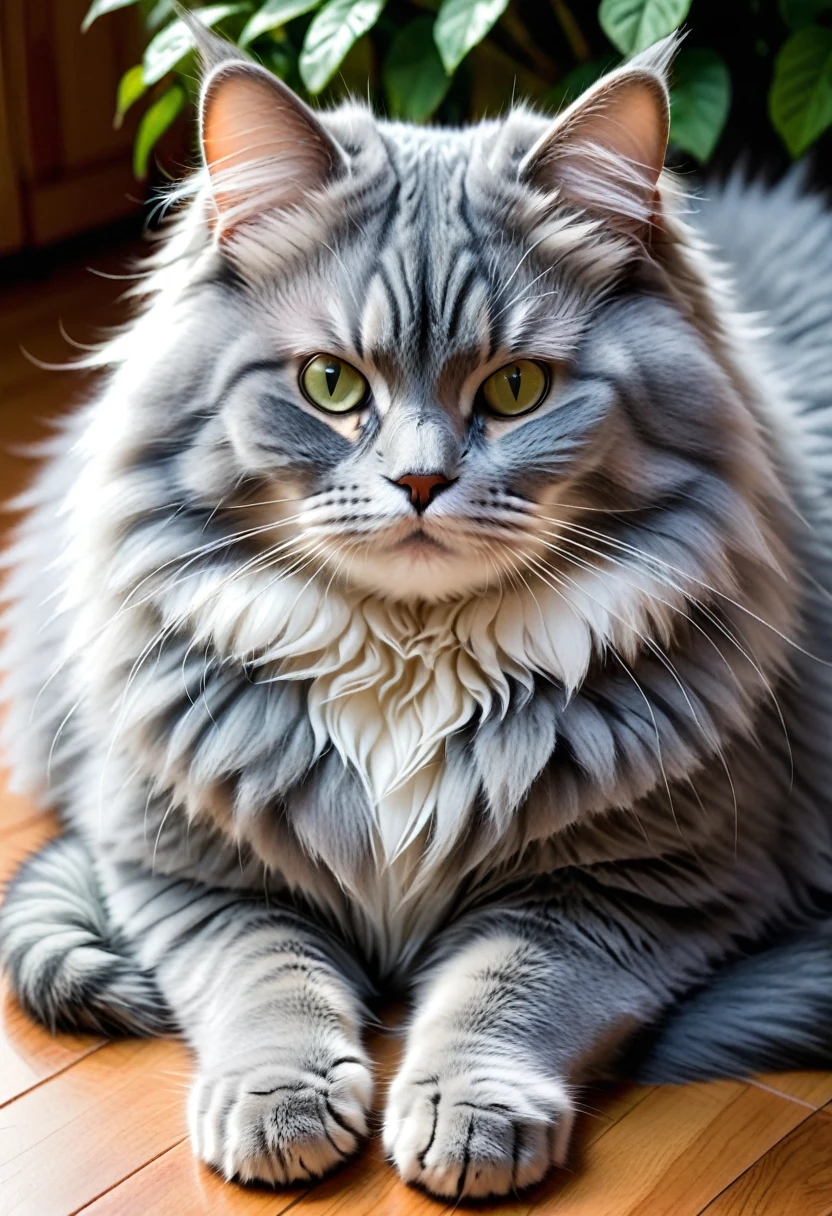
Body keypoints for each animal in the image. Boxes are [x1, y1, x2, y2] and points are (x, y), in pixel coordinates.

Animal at [4, 26, 832, 1196]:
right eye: (330, 385)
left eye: (519, 389)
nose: (420, 483)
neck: (409, 660)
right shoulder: (189, 869)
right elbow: (265, 980)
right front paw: (280, 1106)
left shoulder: (637, 887)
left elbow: (507, 988)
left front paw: (467, 1118)